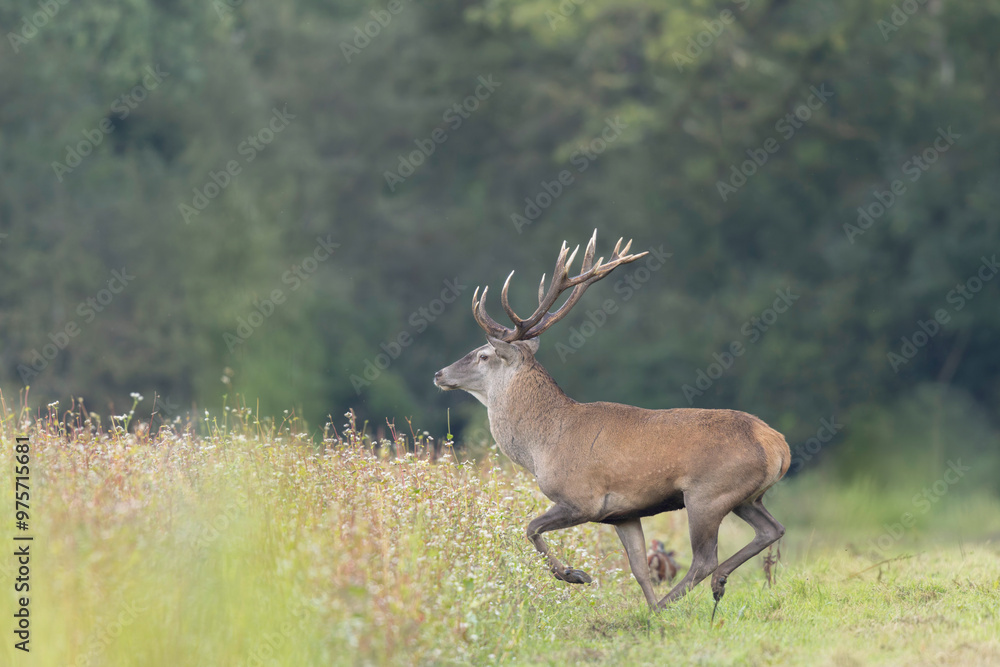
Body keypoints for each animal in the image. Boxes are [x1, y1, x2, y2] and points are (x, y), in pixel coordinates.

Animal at [433, 230, 789, 613]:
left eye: (483, 355)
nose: (440, 373)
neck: (542, 446)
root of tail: (778, 445)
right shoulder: (622, 513)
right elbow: (639, 568)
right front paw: (646, 610)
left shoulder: (582, 498)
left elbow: (530, 528)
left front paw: (576, 575)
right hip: (746, 498)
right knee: (772, 529)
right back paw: (701, 589)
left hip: (708, 493)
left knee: (705, 558)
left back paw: (679, 598)